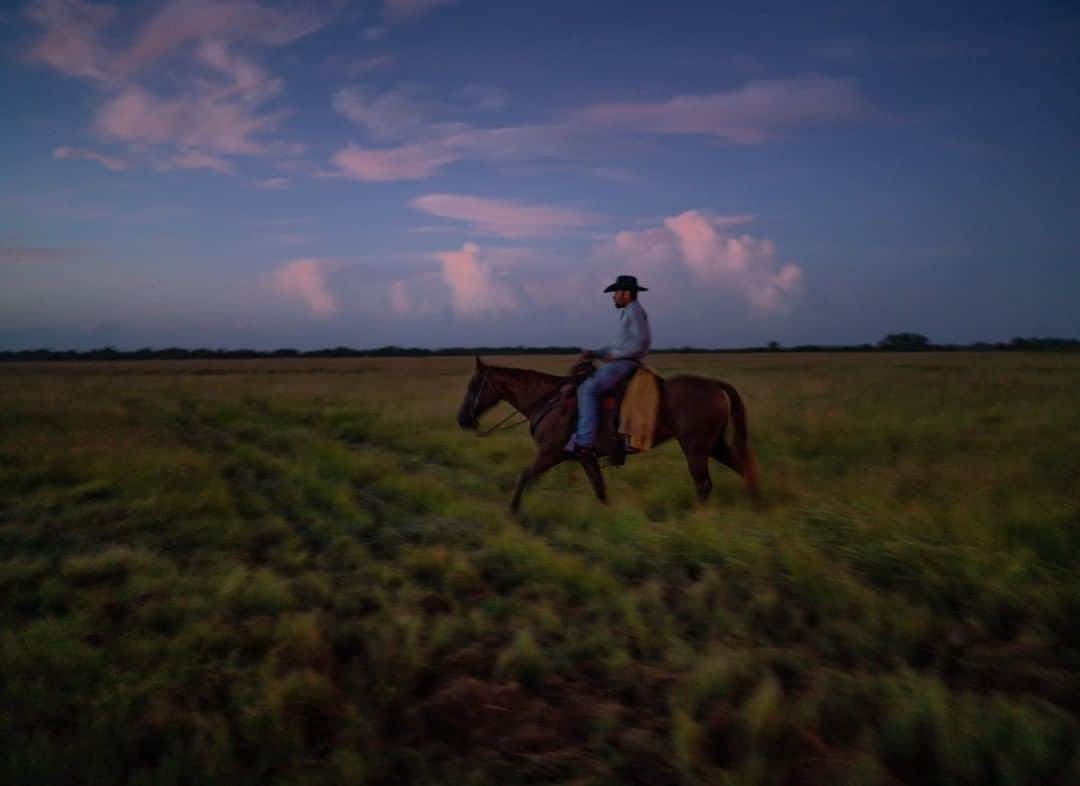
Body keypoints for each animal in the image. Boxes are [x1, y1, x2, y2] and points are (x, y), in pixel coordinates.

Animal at [455, 358, 760, 516]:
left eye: (473, 384)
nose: (462, 419)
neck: (549, 400)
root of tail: (715, 385)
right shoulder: (585, 457)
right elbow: (599, 489)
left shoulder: (549, 453)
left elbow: (524, 475)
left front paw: (513, 511)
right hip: (714, 445)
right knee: (742, 467)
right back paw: (754, 502)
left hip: (695, 448)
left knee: (704, 484)